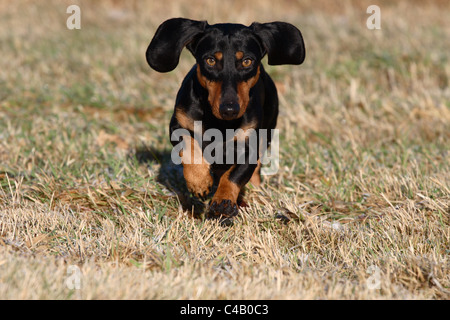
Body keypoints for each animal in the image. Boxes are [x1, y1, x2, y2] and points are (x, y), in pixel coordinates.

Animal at [146, 18, 304, 221]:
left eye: (246, 61)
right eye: (211, 60)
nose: (229, 109)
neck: (220, 123)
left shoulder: (249, 146)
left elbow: (233, 176)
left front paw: (223, 201)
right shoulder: (178, 125)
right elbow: (189, 147)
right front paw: (200, 181)